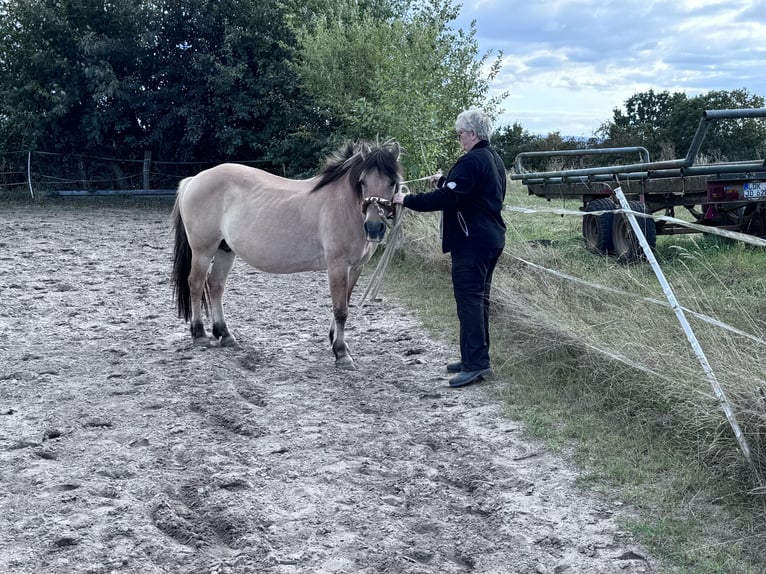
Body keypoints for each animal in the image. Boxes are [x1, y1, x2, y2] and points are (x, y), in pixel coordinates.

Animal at [171, 142, 404, 372]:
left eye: (392, 182)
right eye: (362, 182)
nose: (374, 228)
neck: (344, 204)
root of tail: (194, 180)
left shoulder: (355, 268)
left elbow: (344, 303)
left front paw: (337, 342)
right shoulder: (337, 266)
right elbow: (340, 310)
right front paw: (341, 353)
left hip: (225, 250)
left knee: (216, 285)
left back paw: (225, 334)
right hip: (203, 250)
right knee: (196, 284)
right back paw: (200, 334)